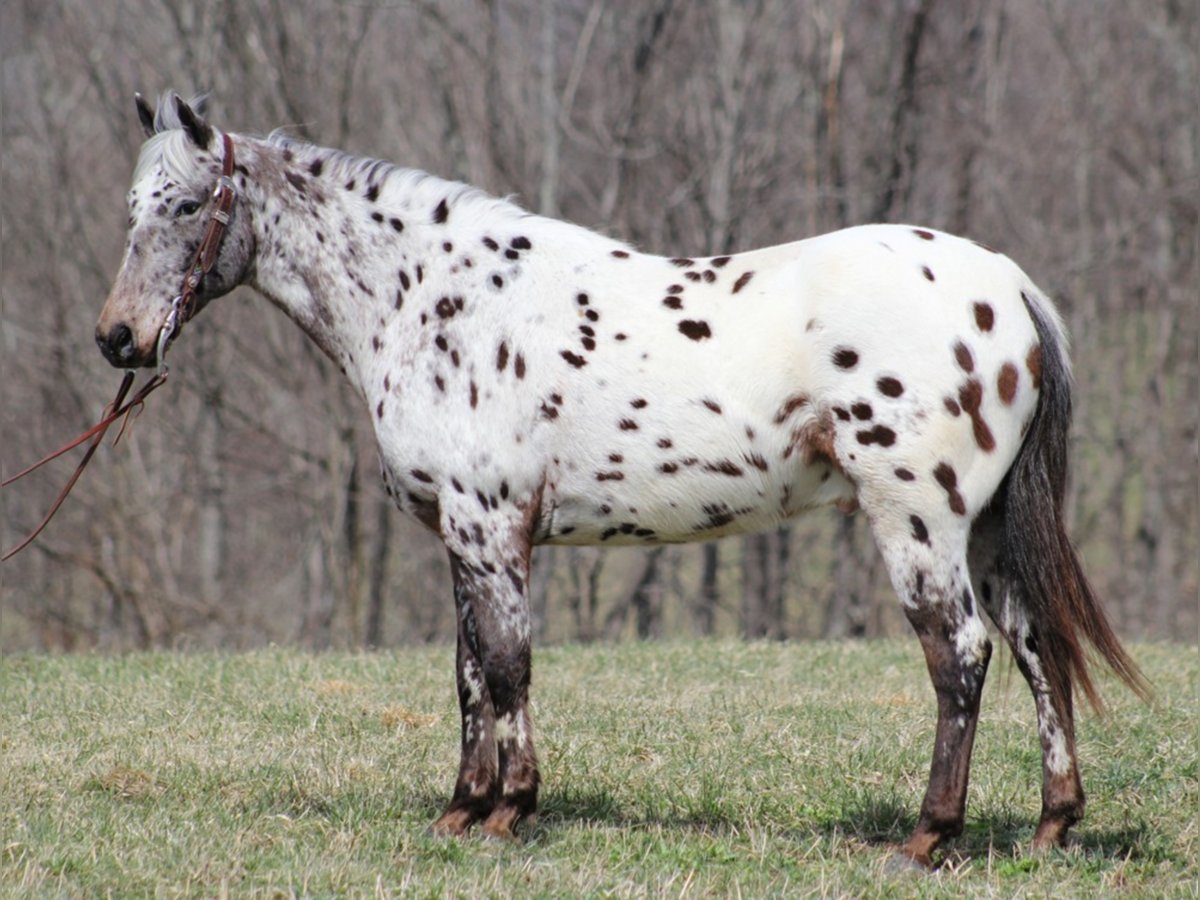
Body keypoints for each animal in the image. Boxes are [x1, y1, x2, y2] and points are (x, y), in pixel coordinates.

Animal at [98, 95, 1147, 868]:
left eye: (186, 207)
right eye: (131, 208)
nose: (118, 338)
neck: (433, 300)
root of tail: (1006, 284)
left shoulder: (488, 525)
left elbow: (507, 665)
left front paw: (509, 812)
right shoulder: (462, 535)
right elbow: (468, 672)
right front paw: (462, 810)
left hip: (918, 520)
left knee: (959, 653)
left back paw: (929, 837)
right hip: (988, 528)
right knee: (1034, 648)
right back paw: (1053, 824)